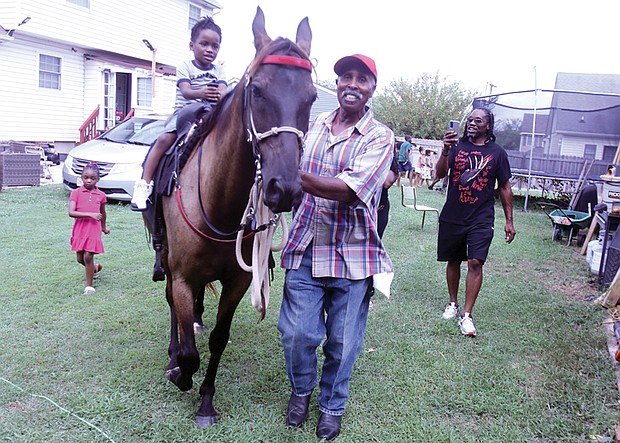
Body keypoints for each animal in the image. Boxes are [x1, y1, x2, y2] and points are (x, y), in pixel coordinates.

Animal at [153, 6, 318, 428]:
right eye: (256, 90)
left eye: (312, 97)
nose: (284, 188)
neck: (218, 205)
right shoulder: (181, 275)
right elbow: (189, 351)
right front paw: (179, 371)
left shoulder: (238, 282)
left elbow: (217, 339)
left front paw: (206, 401)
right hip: (166, 261)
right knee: (172, 306)